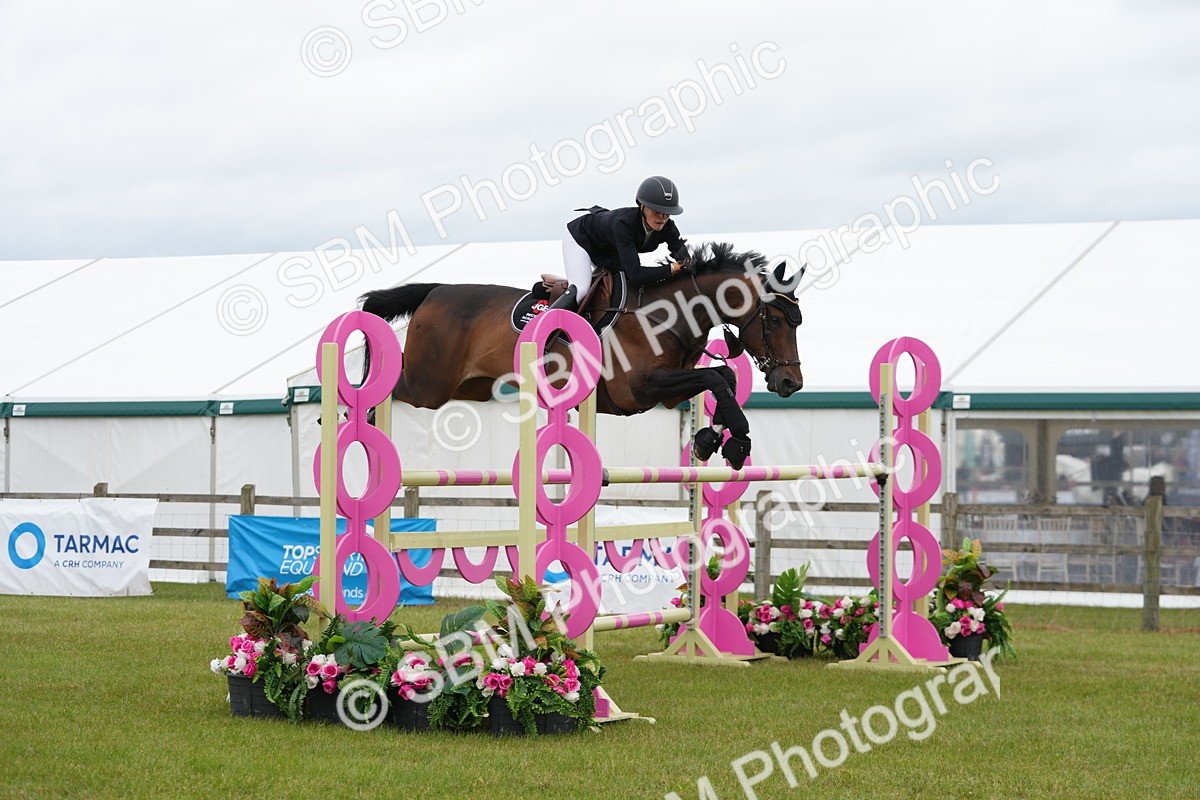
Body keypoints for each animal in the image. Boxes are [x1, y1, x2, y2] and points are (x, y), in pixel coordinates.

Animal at [358, 242, 805, 468]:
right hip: (429, 385)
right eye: (776, 319)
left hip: (471, 388)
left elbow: (723, 379)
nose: (790, 383)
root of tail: (434, 290)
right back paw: (360, 415)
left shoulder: (668, 395)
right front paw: (737, 443)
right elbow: (714, 377)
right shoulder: (640, 390)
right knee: (392, 387)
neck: (666, 313)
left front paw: (709, 440)